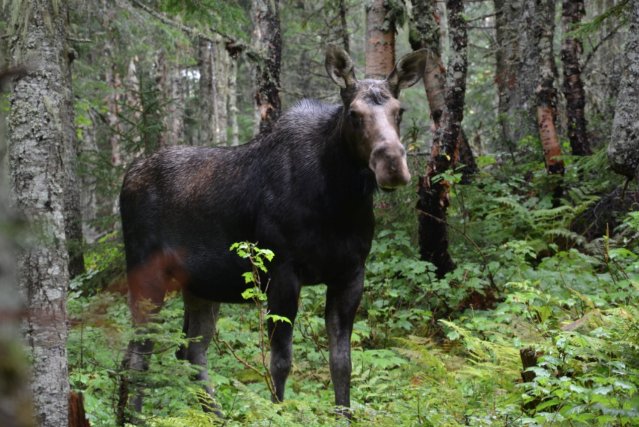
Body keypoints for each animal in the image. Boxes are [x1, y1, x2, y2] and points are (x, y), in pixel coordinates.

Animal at [117, 44, 428, 422]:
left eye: (400, 111)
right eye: (354, 113)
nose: (393, 164)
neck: (337, 199)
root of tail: (128, 176)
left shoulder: (351, 273)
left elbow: (342, 363)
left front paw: (344, 415)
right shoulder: (282, 271)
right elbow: (280, 362)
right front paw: (277, 412)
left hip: (201, 288)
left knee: (190, 353)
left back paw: (216, 416)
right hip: (146, 275)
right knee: (139, 353)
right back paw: (134, 417)